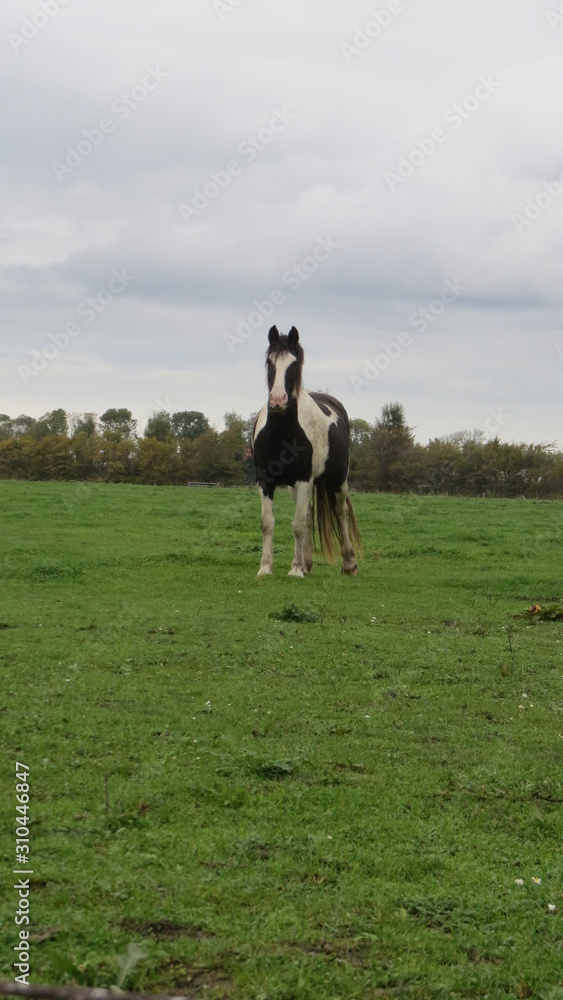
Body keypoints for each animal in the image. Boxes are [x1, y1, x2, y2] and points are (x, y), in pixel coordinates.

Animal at [251, 325, 362, 577]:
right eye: (270, 362)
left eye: (294, 364)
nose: (278, 400)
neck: (281, 434)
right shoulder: (265, 480)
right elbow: (267, 523)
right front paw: (265, 567)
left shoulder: (304, 479)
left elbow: (298, 526)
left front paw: (294, 570)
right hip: (295, 486)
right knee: (310, 515)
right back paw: (307, 562)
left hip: (338, 479)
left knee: (340, 512)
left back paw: (349, 563)